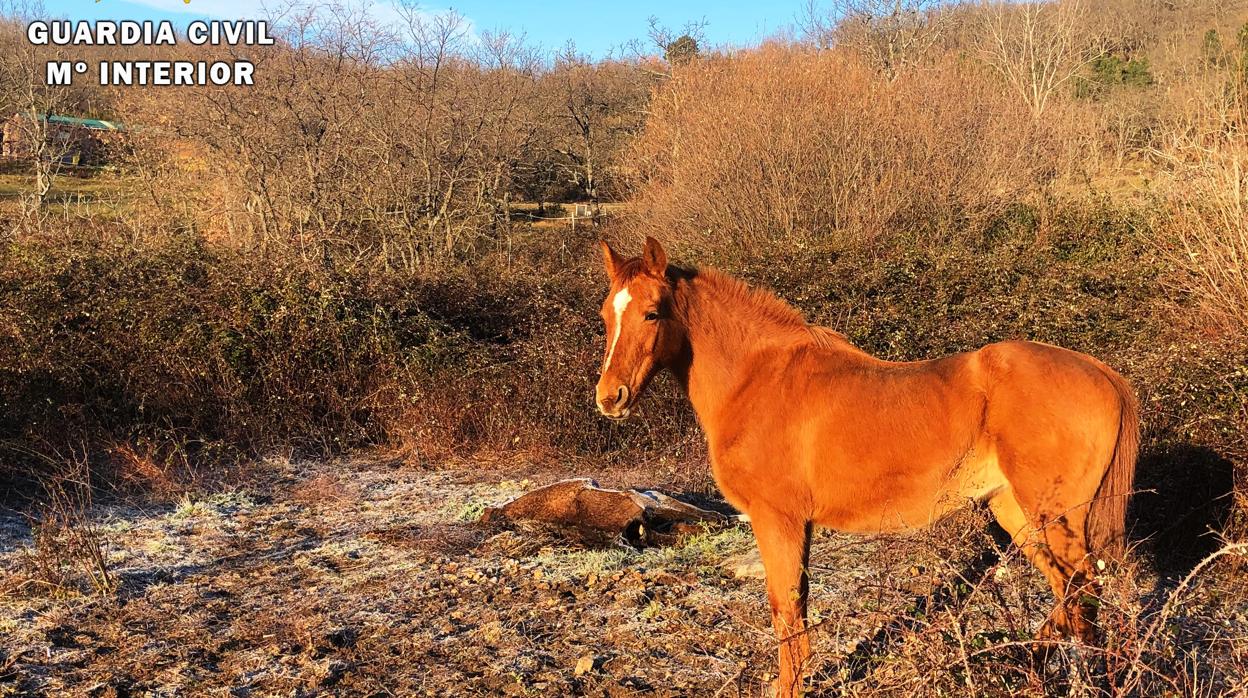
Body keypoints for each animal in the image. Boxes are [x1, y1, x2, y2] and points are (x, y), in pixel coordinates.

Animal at [594, 237, 1143, 694]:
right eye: (605, 315)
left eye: (651, 313)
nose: (609, 398)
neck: (759, 379)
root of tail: (1102, 372)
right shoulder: (798, 525)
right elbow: (798, 608)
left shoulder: (777, 520)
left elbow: (785, 613)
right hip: (1016, 513)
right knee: (1067, 595)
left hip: (1055, 518)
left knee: (1084, 596)